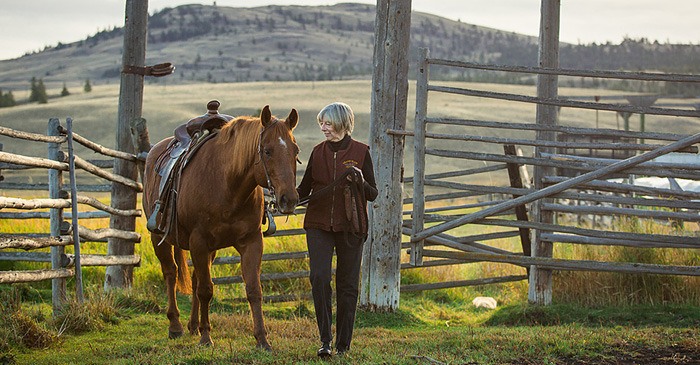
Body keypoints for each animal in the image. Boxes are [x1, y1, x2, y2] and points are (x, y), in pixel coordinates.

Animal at [144, 104, 300, 346]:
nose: (289, 200)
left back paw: (193, 326)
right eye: (267, 151)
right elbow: (206, 290)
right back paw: (175, 325)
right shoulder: (199, 241)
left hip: (209, 249)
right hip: (160, 238)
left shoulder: (251, 242)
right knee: (170, 273)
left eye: (296, 151)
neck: (227, 185)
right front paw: (206, 337)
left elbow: (253, 289)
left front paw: (262, 339)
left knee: (195, 279)